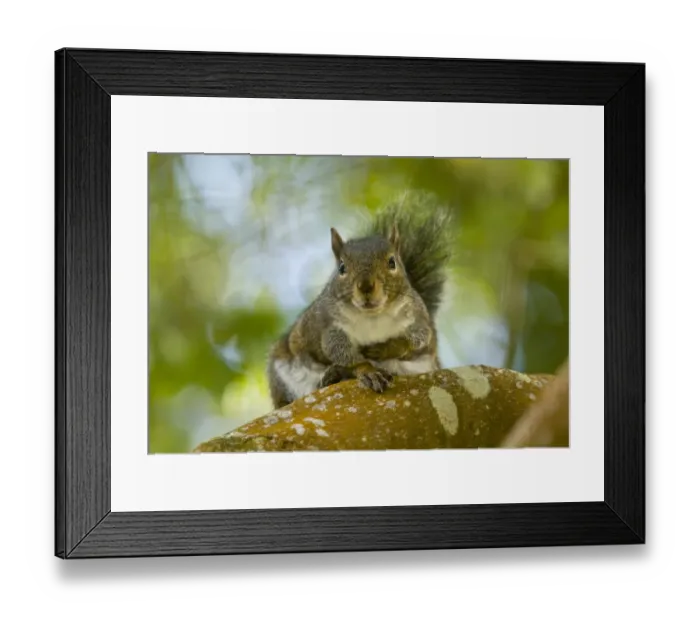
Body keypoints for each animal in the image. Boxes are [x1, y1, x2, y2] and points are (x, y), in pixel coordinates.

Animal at [267, 195, 452, 409]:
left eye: (392, 262)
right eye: (341, 267)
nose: (365, 286)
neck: (372, 317)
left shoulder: (417, 317)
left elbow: (419, 338)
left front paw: (386, 348)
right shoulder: (331, 328)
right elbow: (342, 353)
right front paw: (368, 371)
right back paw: (332, 376)